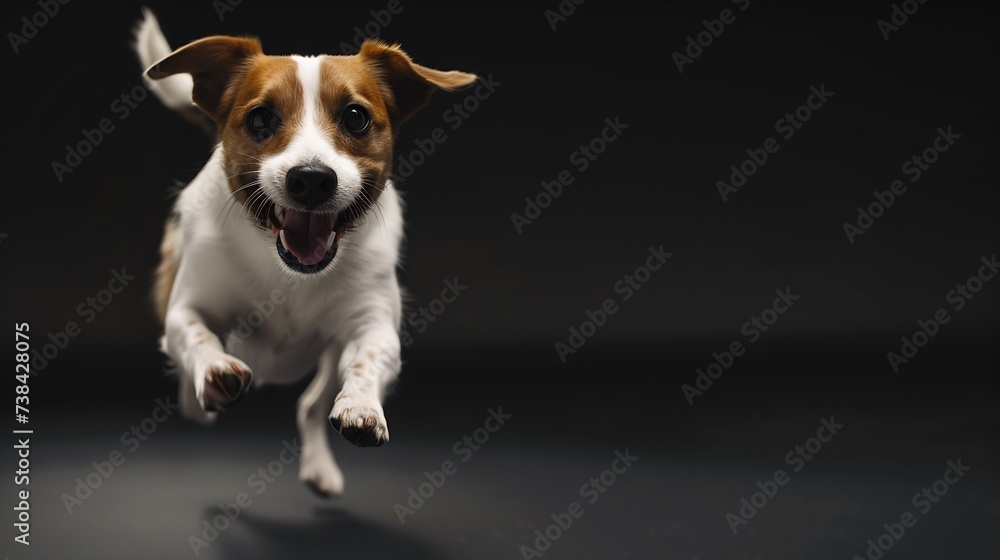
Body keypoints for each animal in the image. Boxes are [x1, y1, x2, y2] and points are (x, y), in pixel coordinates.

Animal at [134, 8, 476, 496]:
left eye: (355, 118)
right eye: (260, 120)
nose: (312, 178)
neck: (291, 274)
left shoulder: (373, 326)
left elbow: (369, 359)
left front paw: (362, 406)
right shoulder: (185, 308)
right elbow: (197, 335)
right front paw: (216, 368)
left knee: (311, 405)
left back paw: (319, 467)